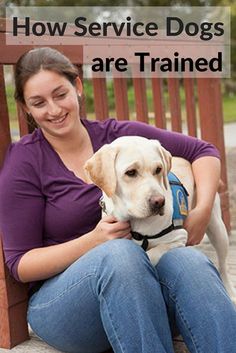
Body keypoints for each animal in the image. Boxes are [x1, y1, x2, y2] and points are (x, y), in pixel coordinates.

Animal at [85, 135, 236, 300]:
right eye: (130, 172)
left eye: (158, 169)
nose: (159, 202)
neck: (135, 222)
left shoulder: (178, 237)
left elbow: (150, 254)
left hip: (217, 228)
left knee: (222, 266)